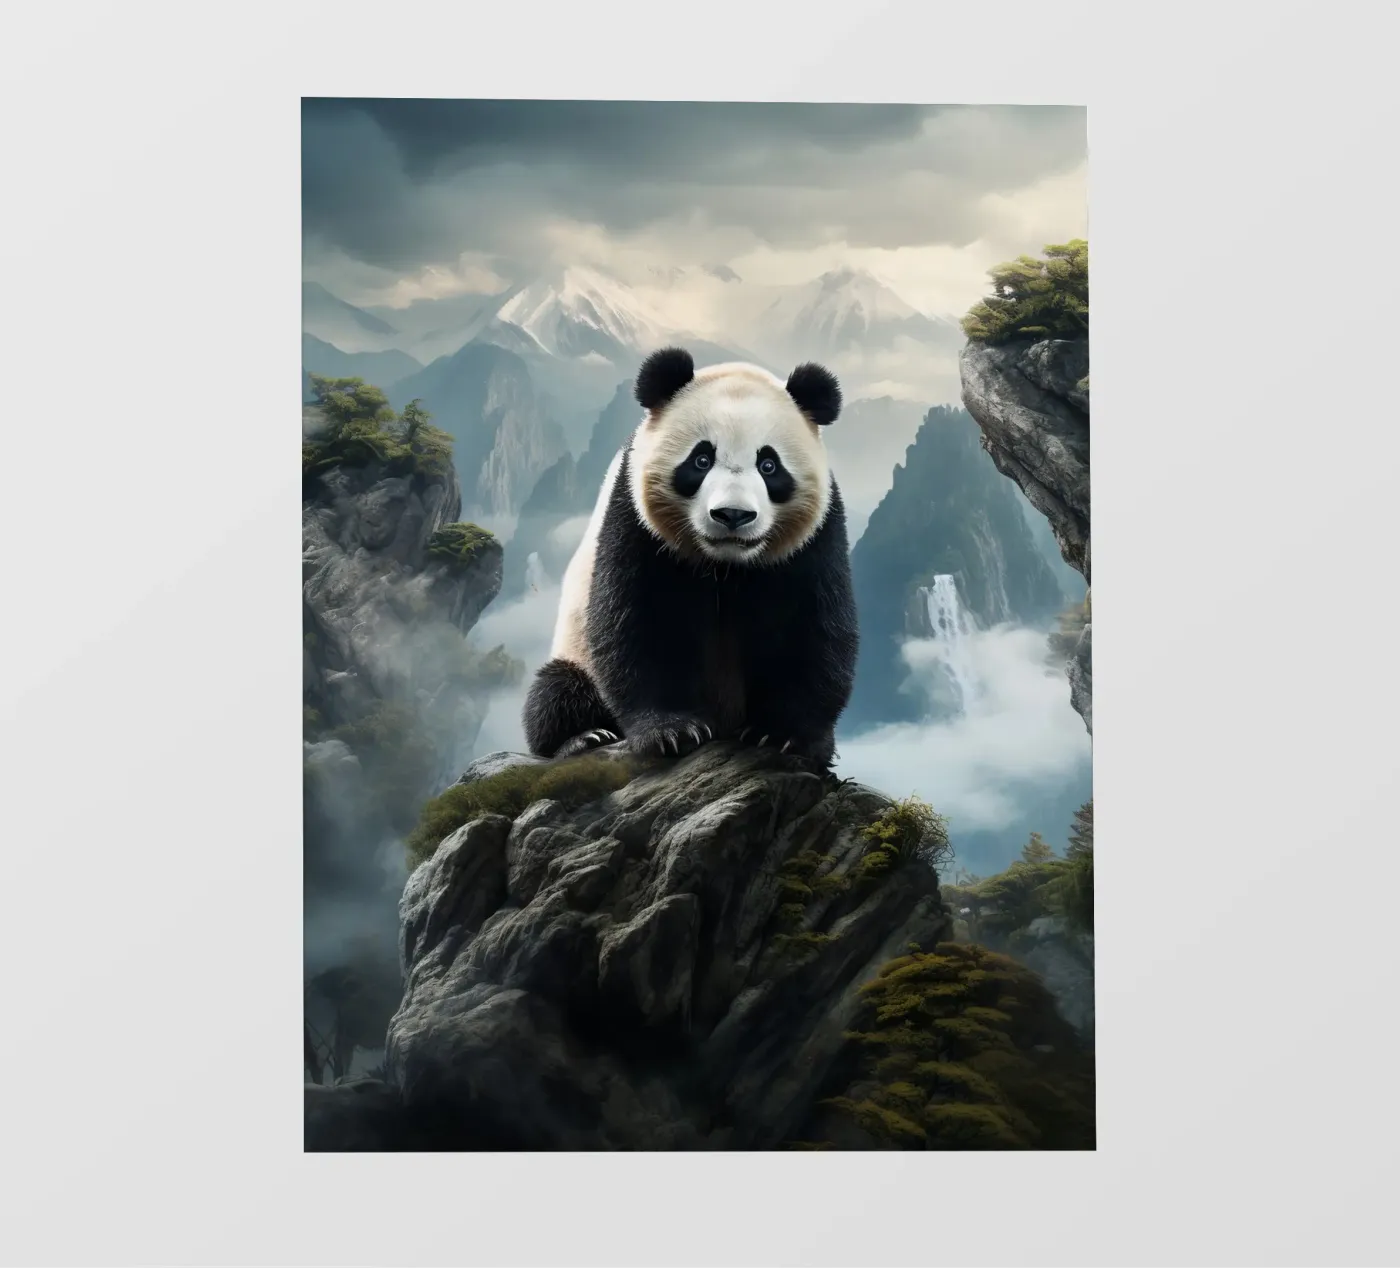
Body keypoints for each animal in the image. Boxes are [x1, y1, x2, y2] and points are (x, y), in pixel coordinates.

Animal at [521, 346, 859, 768]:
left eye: (769, 465)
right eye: (701, 460)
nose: (732, 515)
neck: (725, 566)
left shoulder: (816, 536)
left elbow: (814, 625)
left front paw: (782, 735)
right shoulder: (634, 519)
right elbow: (637, 619)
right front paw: (672, 731)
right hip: (575, 652)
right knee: (556, 691)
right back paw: (582, 738)